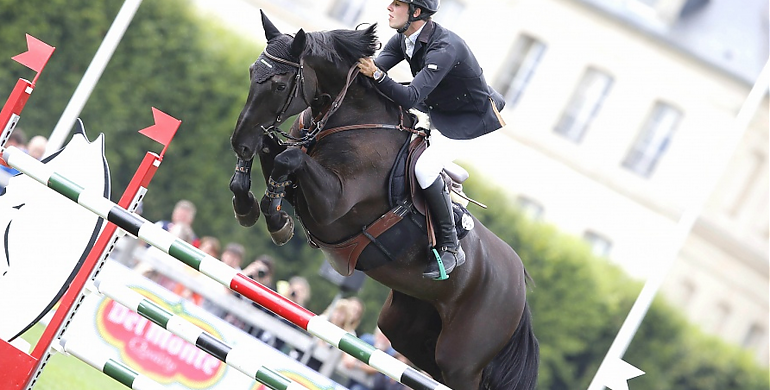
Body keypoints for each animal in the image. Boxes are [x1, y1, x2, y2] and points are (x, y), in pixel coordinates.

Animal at [228, 10, 536, 388]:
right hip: (409, 329)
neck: (348, 121)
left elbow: (289, 159)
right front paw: (248, 205)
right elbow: (273, 154)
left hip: (462, 360)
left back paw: (449, 256)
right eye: (252, 73)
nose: (239, 142)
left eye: (280, 85)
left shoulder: (333, 207)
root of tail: (520, 287)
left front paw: (276, 221)